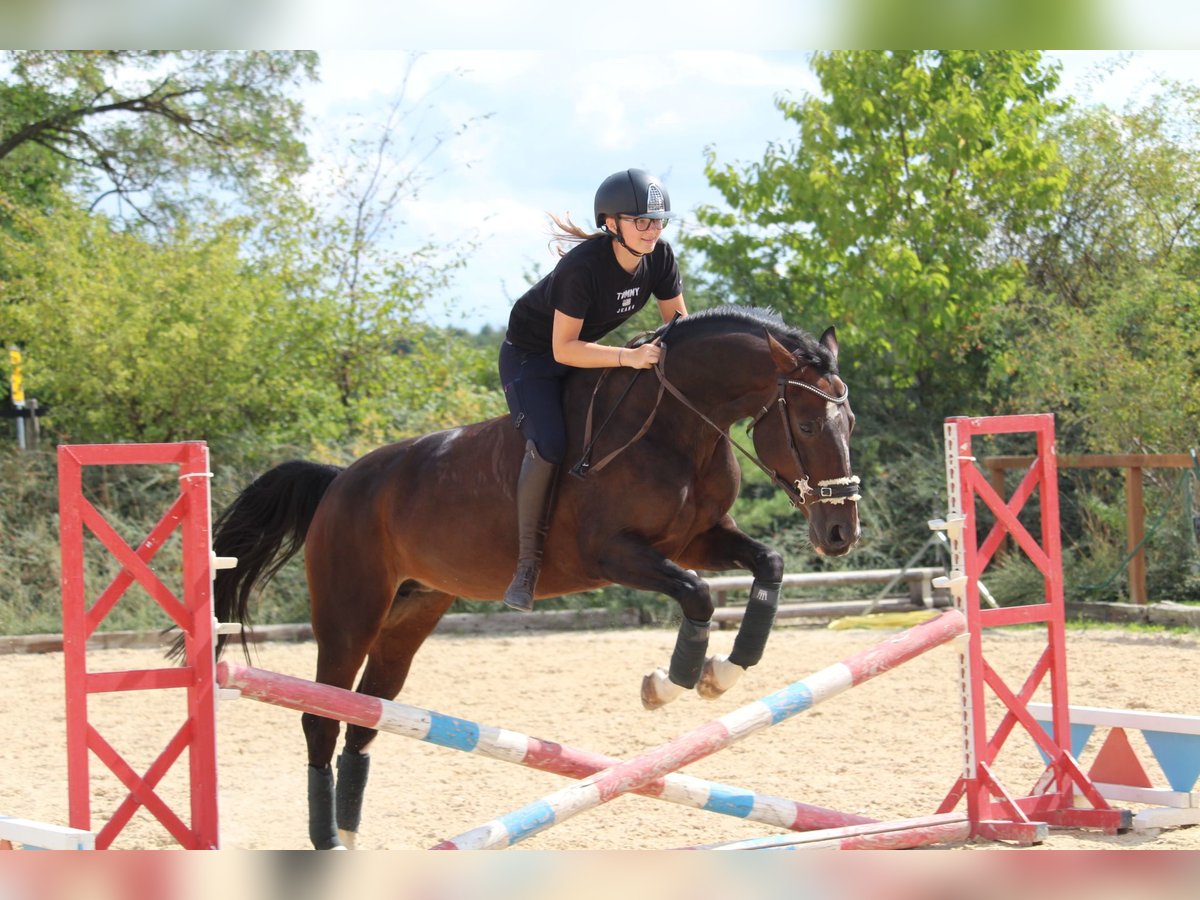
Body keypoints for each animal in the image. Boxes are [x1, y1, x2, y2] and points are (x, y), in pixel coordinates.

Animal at [208, 307, 864, 849]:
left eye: (851, 422)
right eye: (808, 427)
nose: (839, 533)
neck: (673, 427)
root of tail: (339, 481)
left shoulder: (698, 540)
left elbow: (768, 565)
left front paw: (722, 672)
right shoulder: (616, 554)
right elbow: (696, 594)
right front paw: (666, 684)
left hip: (409, 616)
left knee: (365, 716)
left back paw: (347, 832)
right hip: (350, 615)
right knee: (321, 716)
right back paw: (326, 839)